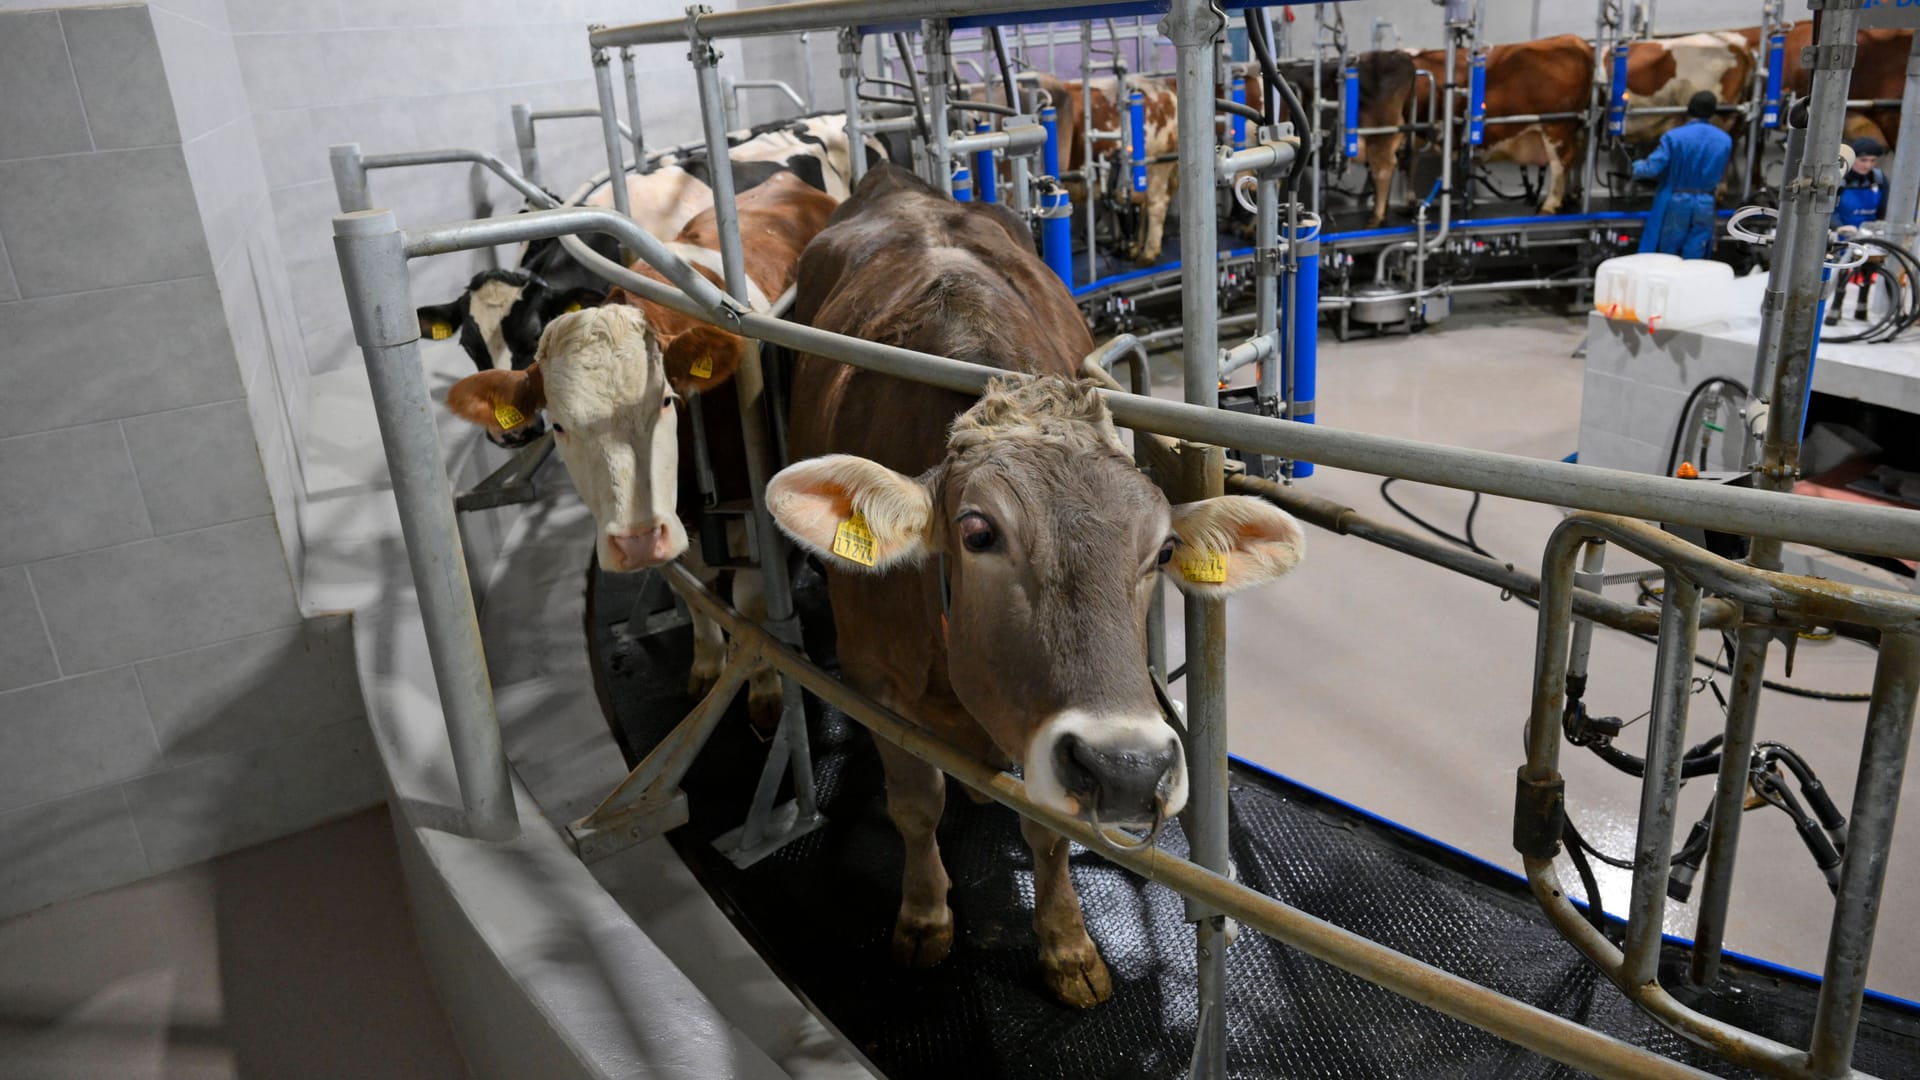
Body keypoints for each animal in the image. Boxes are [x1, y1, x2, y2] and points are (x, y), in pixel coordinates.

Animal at [445, 171, 844, 726]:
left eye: (666, 401)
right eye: (560, 425)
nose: (634, 543)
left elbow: (752, 604)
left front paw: (764, 691)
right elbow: (694, 595)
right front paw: (707, 665)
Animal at [764, 164, 1305, 1006]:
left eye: (1162, 550)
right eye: (978, 533)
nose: (1128, 769)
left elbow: (1047, 828)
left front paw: (1068, 946)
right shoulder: (870, 675)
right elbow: (914, 803)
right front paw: (924, 916)